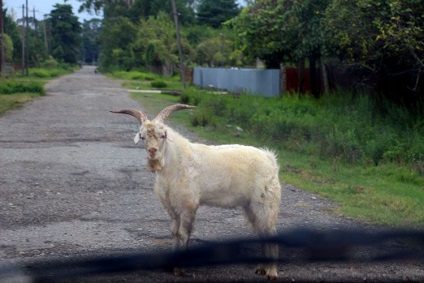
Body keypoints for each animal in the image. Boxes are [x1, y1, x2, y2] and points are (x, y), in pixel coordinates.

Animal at [111, 104, 282, 280]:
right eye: (143, 137)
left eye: (163, 135)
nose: (152, 151)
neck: (176, 163)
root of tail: (270, 159)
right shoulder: (172, 208)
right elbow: (173, 233)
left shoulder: (188, 205)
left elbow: (183, 234)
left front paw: (180, 270)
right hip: (250, 206)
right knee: (261, 232)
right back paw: (261, 268)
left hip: (265, 202)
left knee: (271, 231)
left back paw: (272, 273)